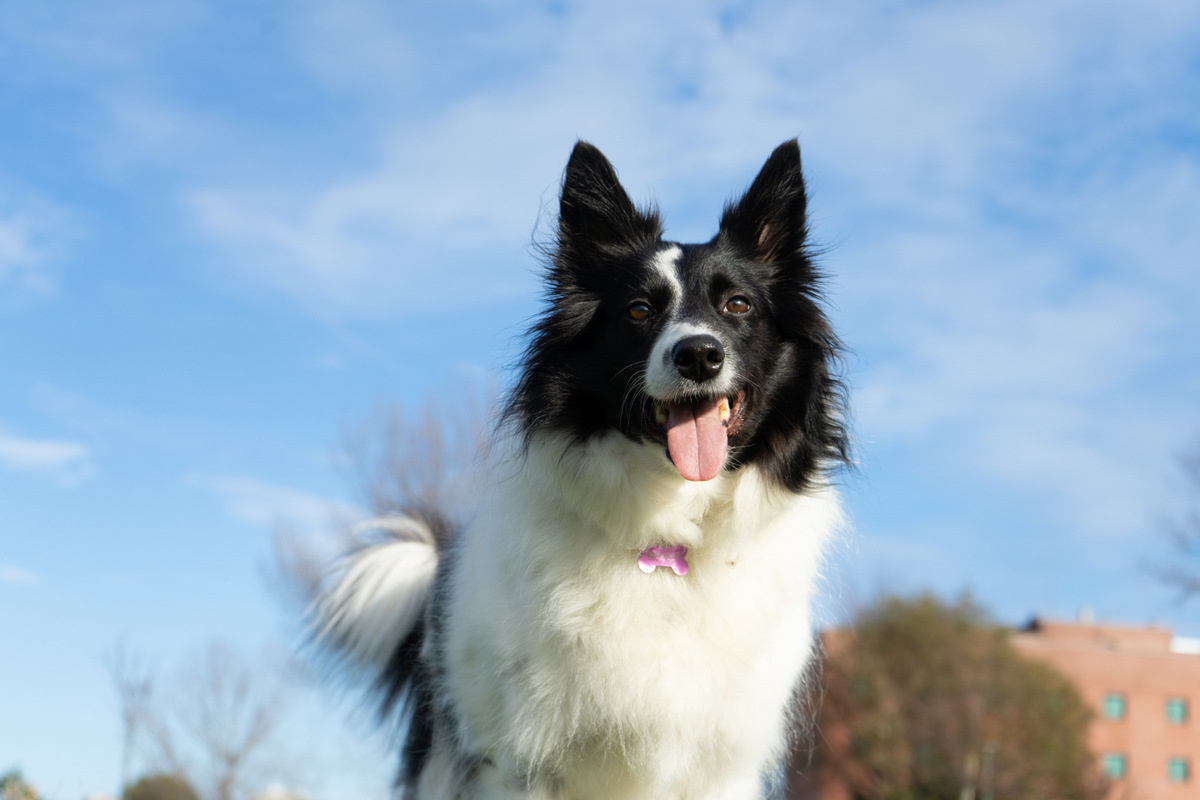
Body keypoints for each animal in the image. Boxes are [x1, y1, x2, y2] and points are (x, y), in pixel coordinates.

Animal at [314, 140, 849, 796]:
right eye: (639, 310)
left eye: (738, 305)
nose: (699, 355)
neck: (669, 536)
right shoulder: (523, 761)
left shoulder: (721, 765)